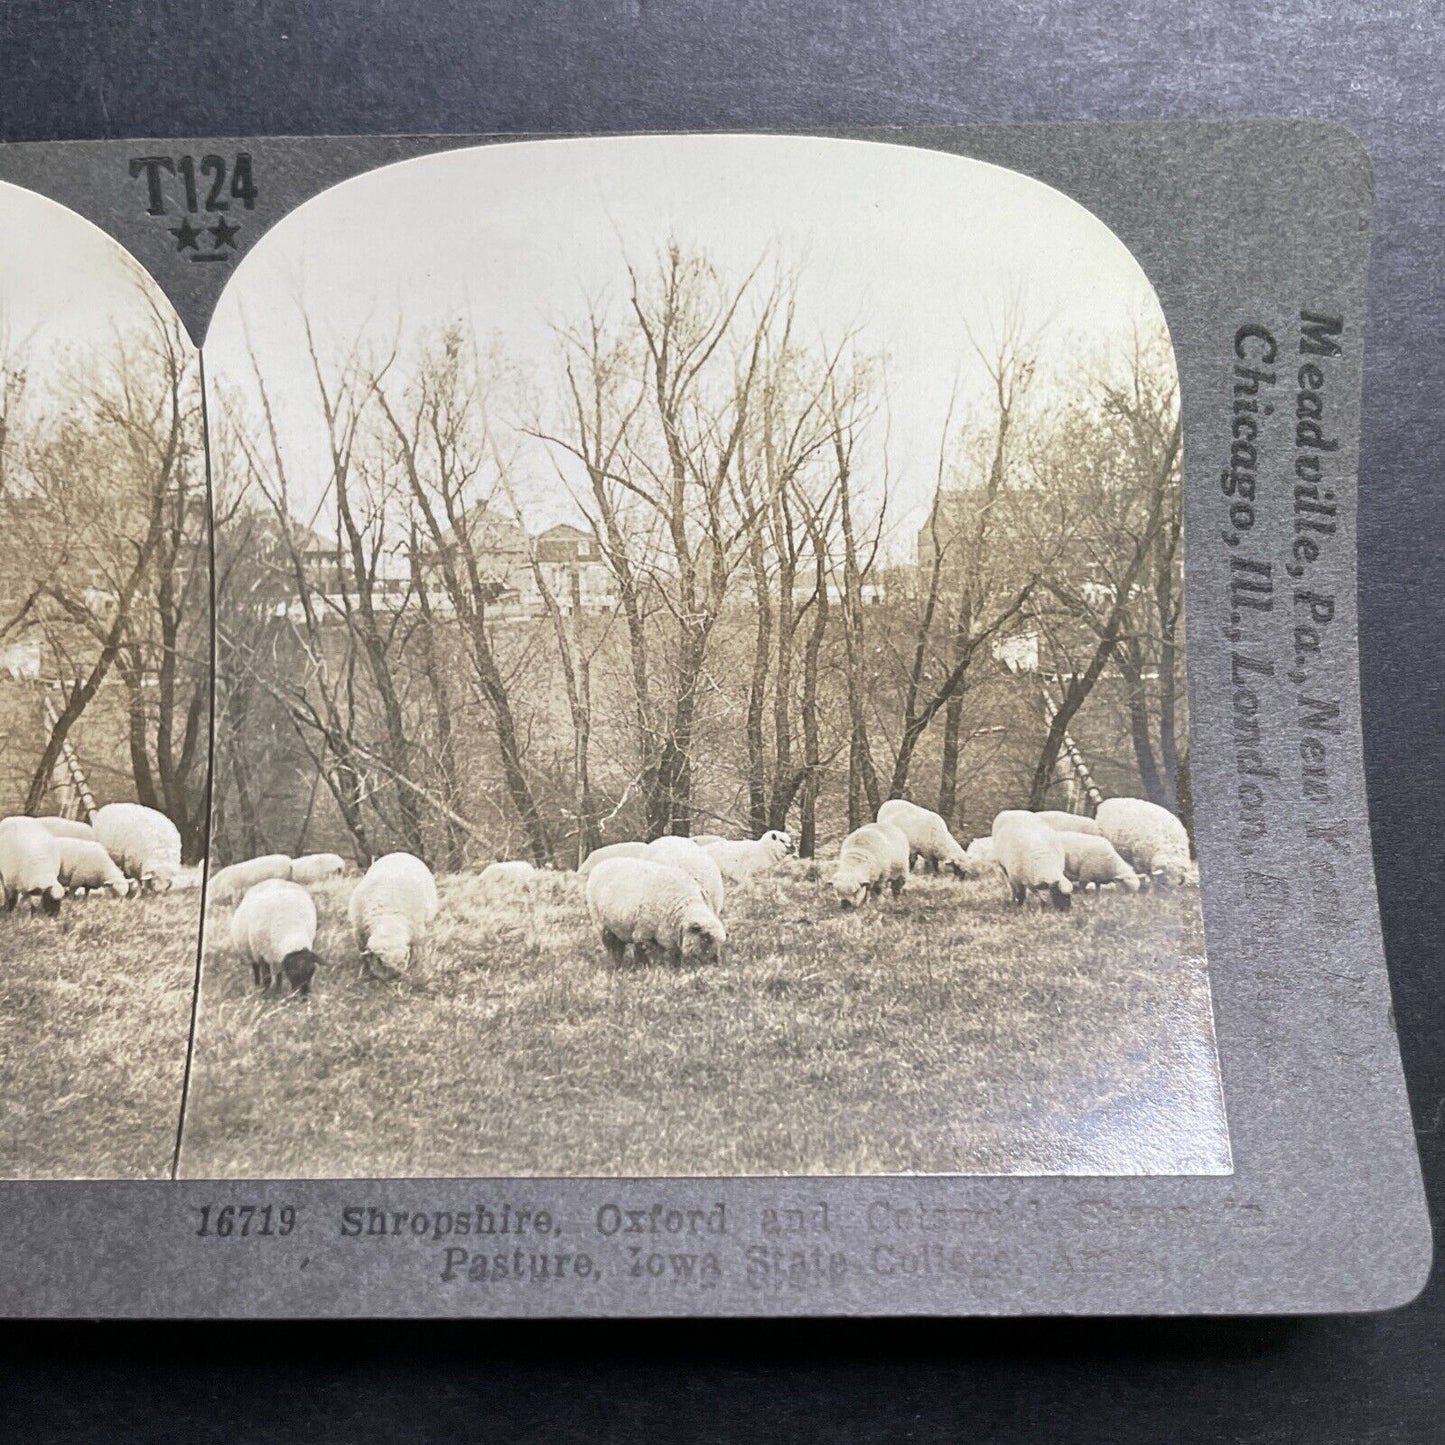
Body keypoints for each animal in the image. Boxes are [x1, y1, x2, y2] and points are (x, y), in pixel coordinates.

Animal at [346, 843, 436, 982]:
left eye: (403, 958)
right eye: (380, 960)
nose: (394, 976)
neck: (388, 918)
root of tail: (399, 853)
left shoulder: (418, 935)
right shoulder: (359, 934)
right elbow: (363, 956)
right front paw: (365, 971)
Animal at [583, 861, 728, 965]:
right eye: (706, 937)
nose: (715, 963)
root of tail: (600, 865)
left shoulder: (670, 938)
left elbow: (674, 957)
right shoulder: (643, 934)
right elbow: (642, 955)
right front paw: (643, 970)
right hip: (602, 925)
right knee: (614, 948)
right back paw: (616, 966)